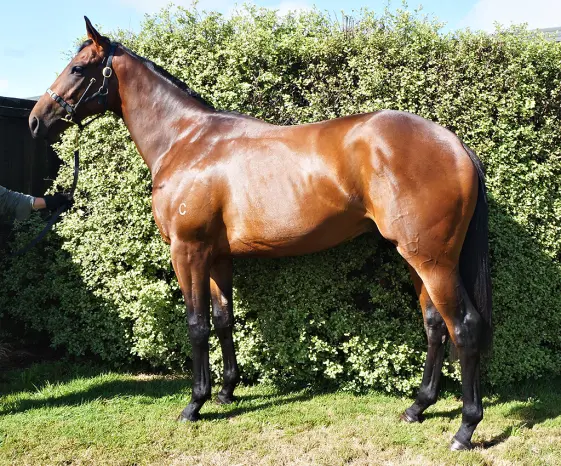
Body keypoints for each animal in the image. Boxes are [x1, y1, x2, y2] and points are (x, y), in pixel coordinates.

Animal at [29, 17, 492, 451]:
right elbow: (223, 319)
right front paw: (226, 392)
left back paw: (465, 429)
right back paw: (418, 407)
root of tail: (455, 145)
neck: (188, 142)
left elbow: (196, 324)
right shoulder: (217, 255)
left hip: (432, 260)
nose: (36, 121)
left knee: (465, 326)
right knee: (435, 325)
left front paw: (195, 403)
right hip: (417, 257)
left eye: (78, 68)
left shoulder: (188, 250)